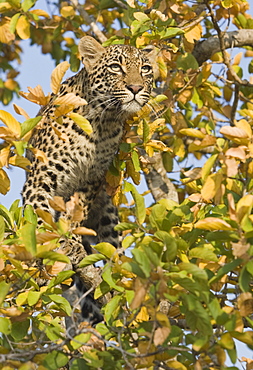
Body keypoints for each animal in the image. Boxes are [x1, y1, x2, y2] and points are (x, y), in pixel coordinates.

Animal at [22, 35, 152, 324]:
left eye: (146, 69)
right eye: (116, 67)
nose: (136, 87)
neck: (104, 121)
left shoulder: (90, 180)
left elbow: (75, 215)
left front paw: (72, 242)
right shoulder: (40, 177)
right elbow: (41, 216)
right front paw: (54, 248)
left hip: (109, 217)